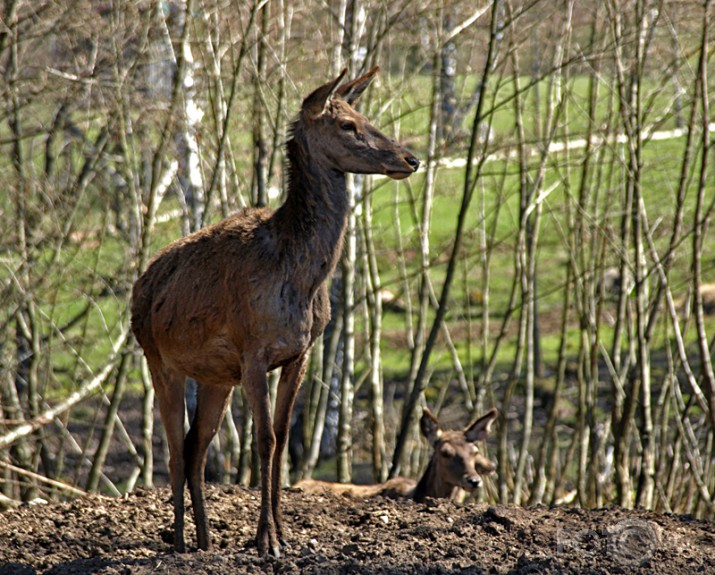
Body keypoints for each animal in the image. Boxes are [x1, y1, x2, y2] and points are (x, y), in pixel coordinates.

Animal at [131, 67, 420, 560]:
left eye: (363, 115)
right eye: (347, 124)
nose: (410, 158)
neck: (302, 281)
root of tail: (140, 287)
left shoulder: (299, 353)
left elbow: (283, 439)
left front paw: (283, 532)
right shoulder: (253, 352)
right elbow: (263, 439)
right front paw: (266, 539)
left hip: (215, 376)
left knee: (196, 448)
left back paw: (207, 539)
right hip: (158, 359)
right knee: (174, 450)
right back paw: (180, 542)